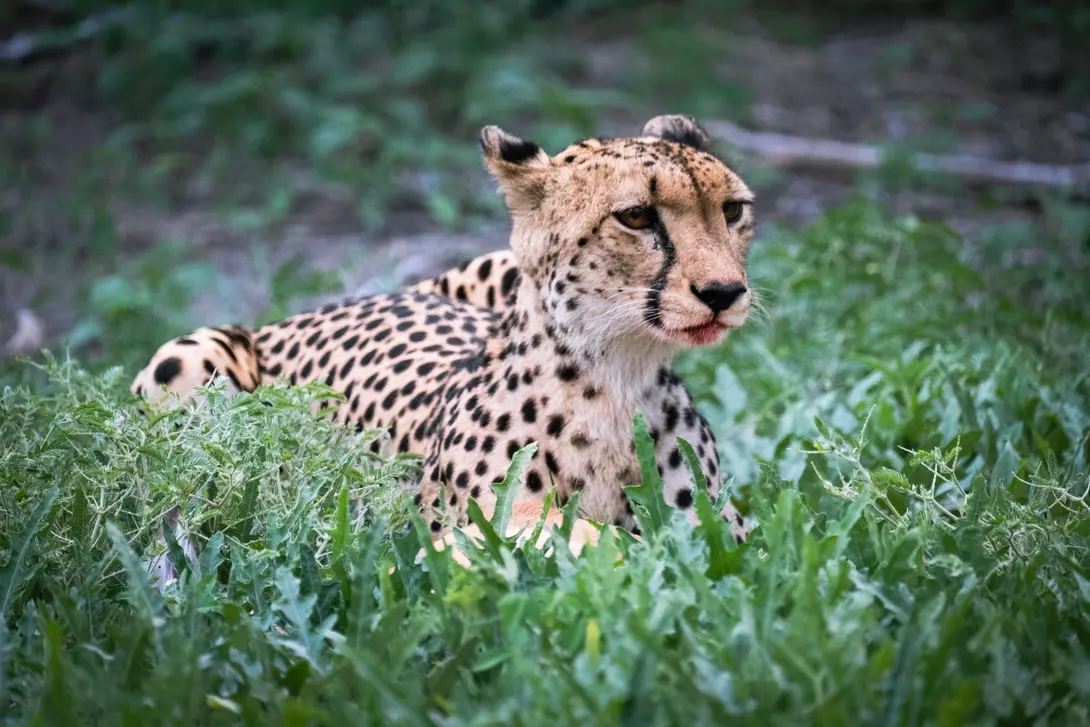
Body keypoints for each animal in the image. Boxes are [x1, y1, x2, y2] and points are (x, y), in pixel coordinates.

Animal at [129, 114, 756, 559]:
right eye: (636, 216)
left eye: (733, 210)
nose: (724, 291)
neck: (615, 375)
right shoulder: (466, 517)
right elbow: (557, 528)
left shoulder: (724, 524)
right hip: (187, 361)